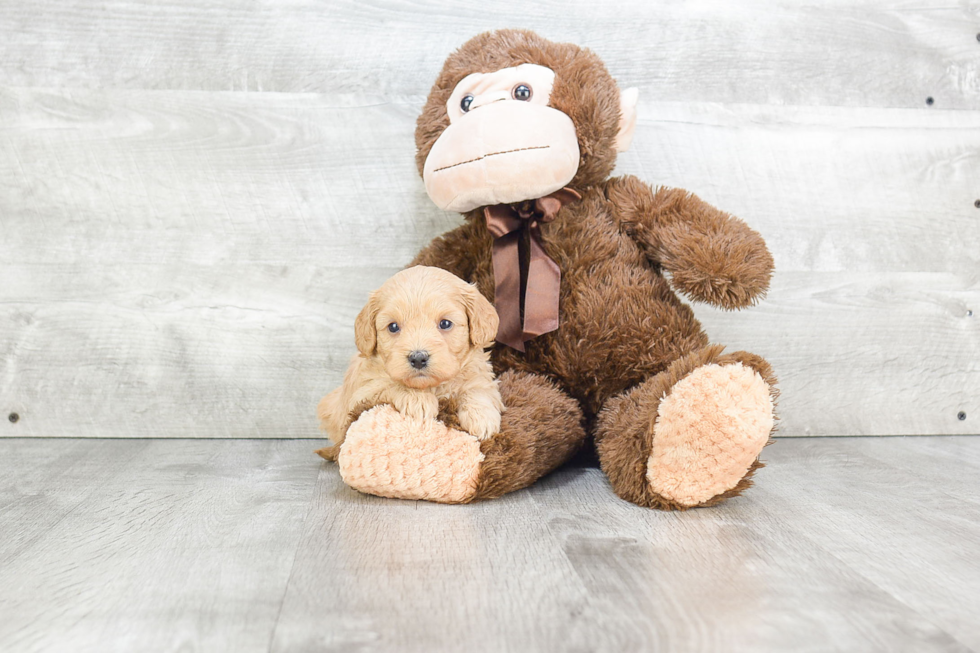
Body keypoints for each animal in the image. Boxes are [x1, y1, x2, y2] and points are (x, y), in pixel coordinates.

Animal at [320, 266, 506, 448]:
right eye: (393, 327)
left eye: (445, 323)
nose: (418, 359)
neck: (432, 387)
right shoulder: (360, 394)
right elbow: (389, 384)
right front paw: (419, 400)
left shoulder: (482, 375)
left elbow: (477, 388)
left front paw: (482, 418)